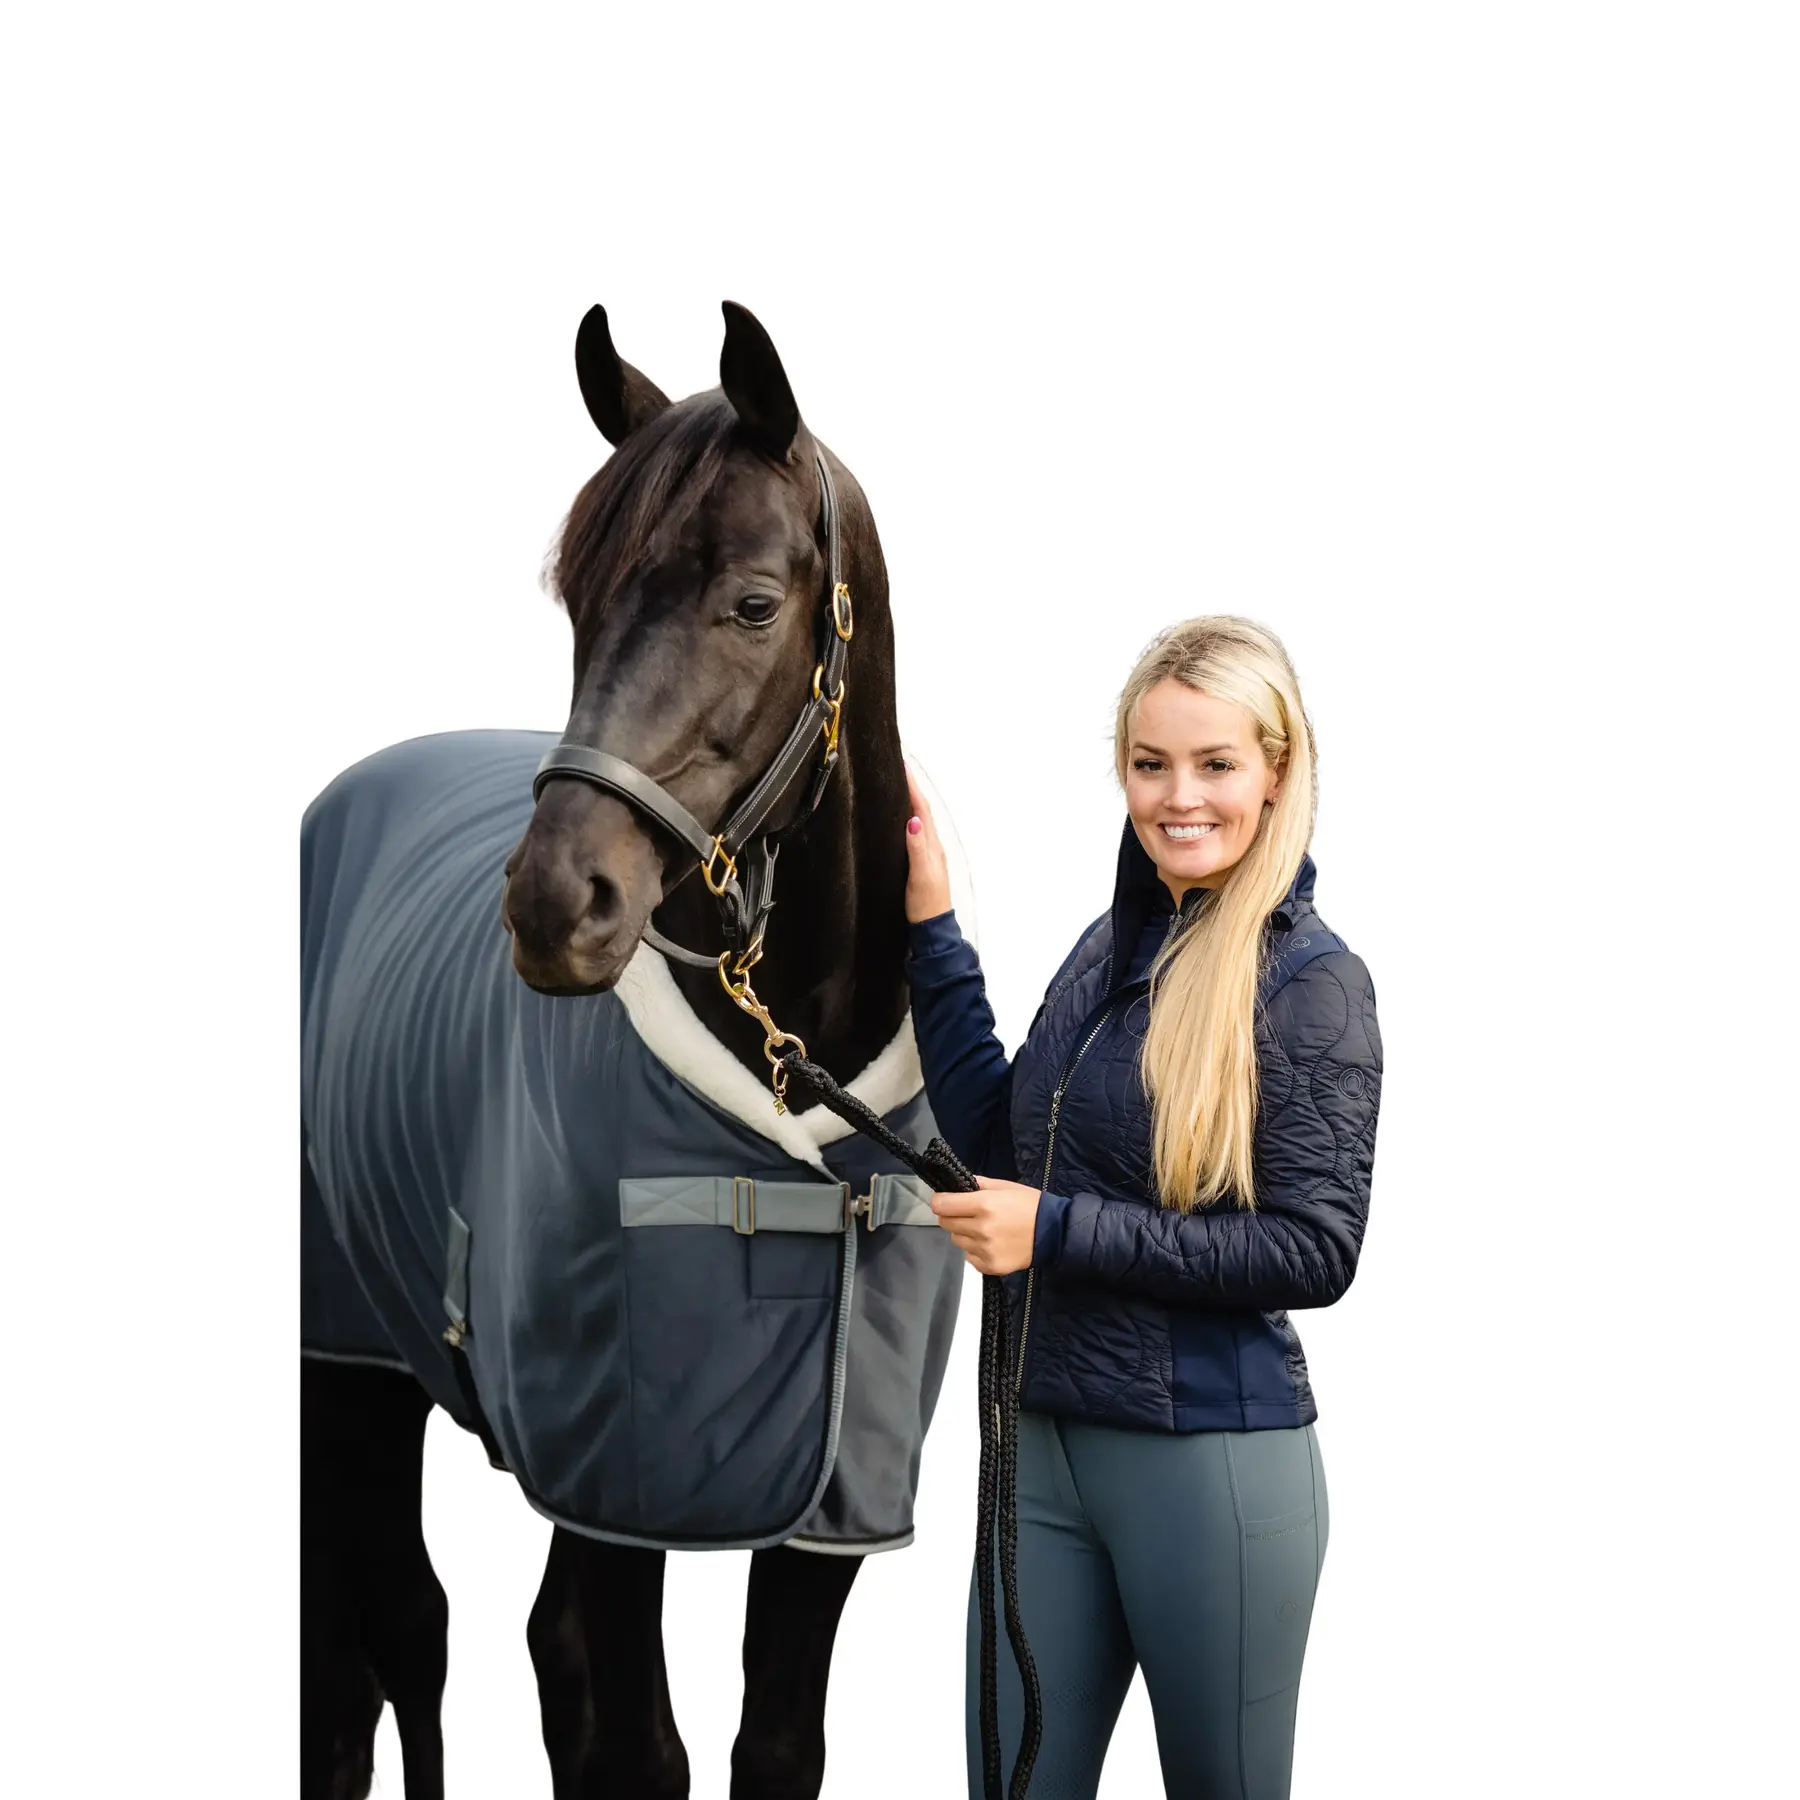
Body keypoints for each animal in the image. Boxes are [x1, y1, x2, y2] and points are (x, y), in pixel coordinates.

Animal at [300, 301, 966, 1799]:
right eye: (582, 599)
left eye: (755, 603)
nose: (559, 906)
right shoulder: (612, 1474)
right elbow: (635, 1751)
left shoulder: (816, 1499)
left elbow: (765, 1744)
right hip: (349, 1364)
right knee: (383, 1644)